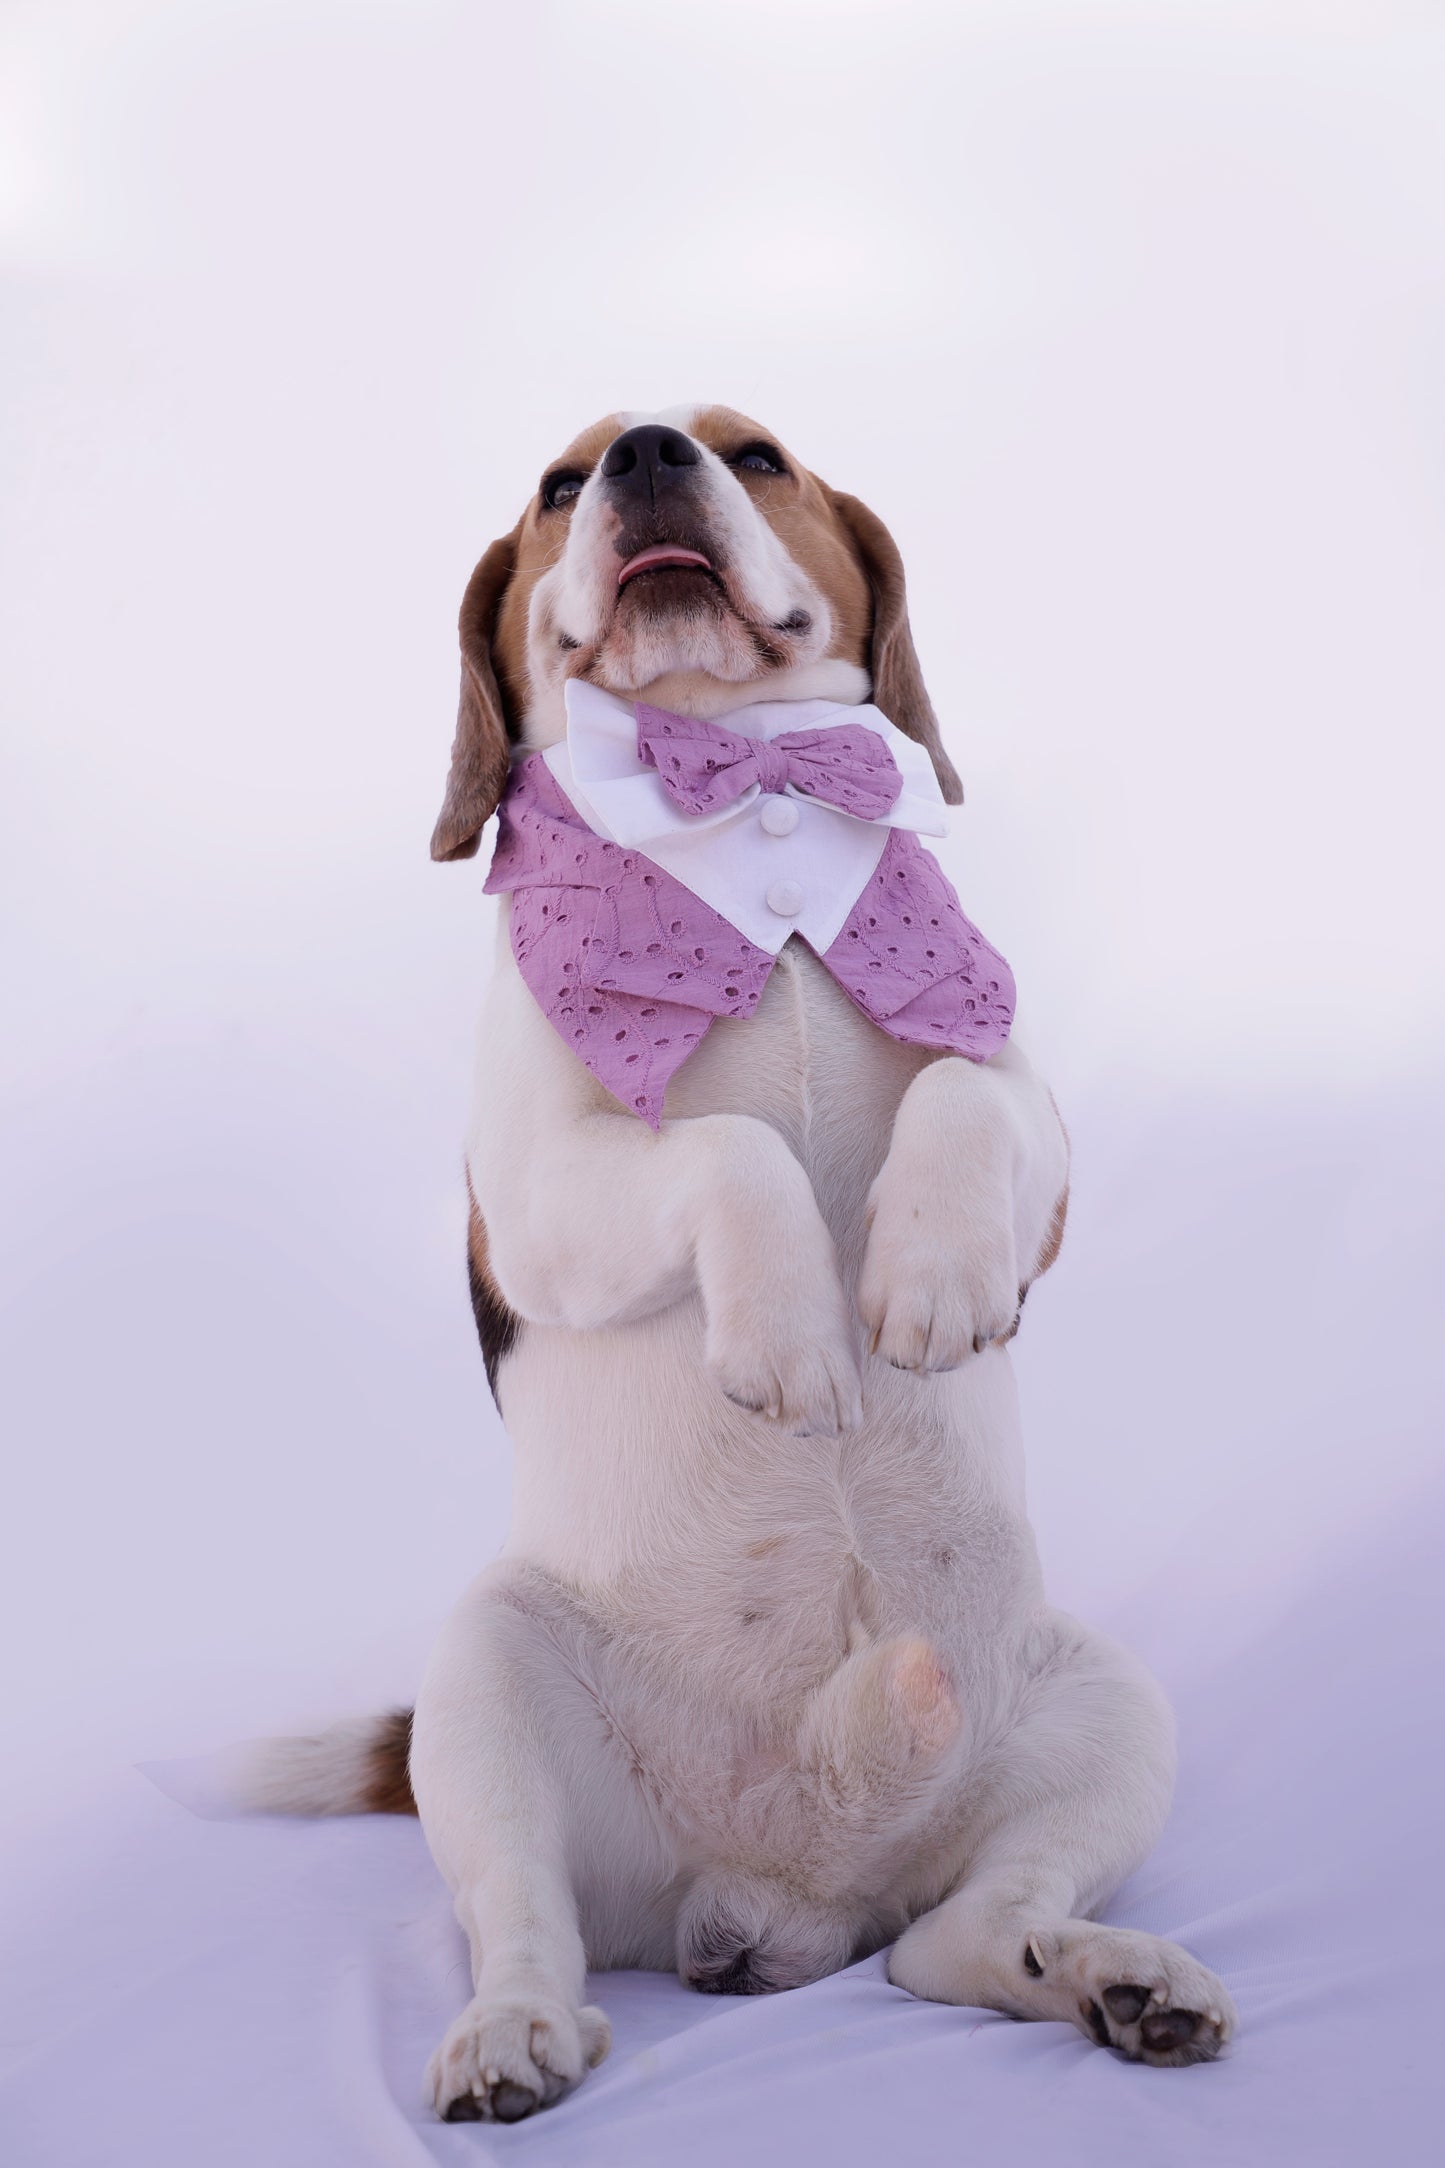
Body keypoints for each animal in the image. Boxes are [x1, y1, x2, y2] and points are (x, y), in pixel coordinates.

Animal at [254, 407, 1239, 2115]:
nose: (649, 451)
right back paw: (510, 2036)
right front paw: (791, 1336)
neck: (742, 801)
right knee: (527, 1922)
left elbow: (965, 1102)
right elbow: (731, 1151)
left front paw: (929, 1280)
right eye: (558, 485)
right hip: (487, 1682)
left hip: (1109, 1705)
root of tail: (788, 1887)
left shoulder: (1030, 1125)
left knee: (961, 1940)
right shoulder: (535, 1198)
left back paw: (1111, 1980)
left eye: (757, 454)